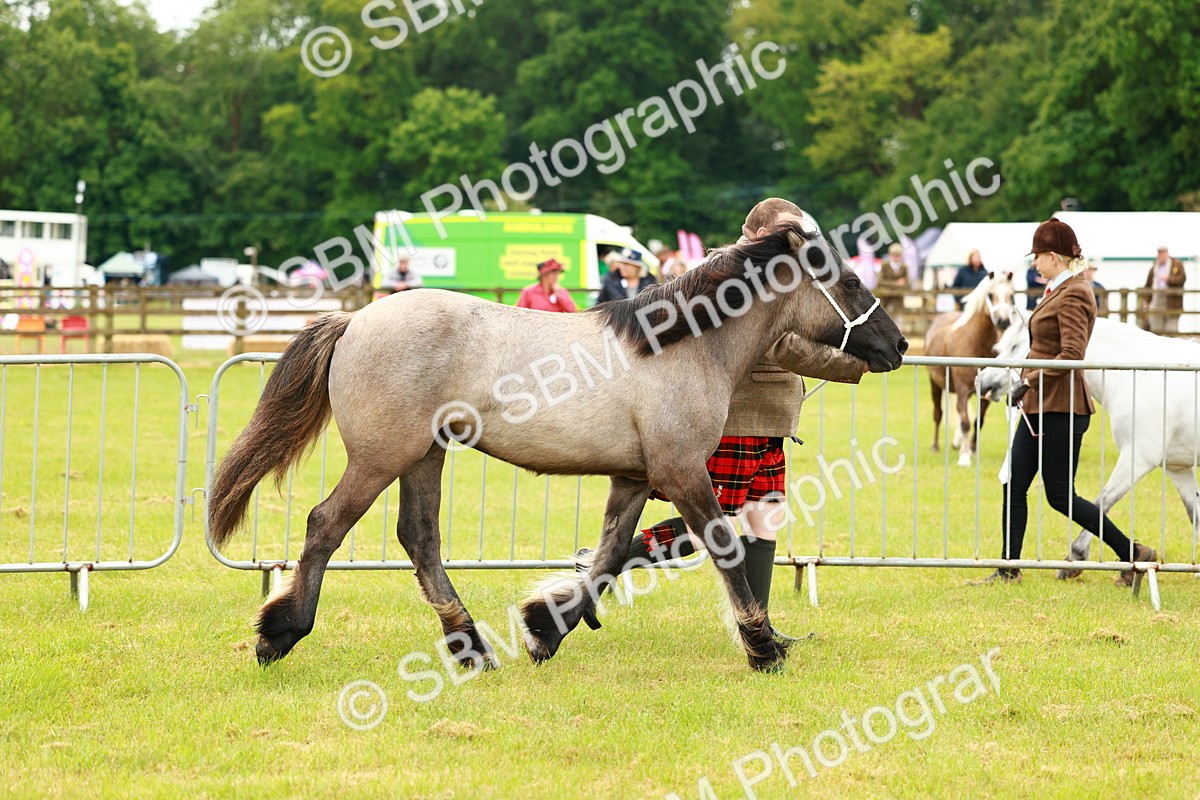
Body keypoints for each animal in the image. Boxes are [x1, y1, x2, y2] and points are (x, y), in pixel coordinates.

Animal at [208, 222, 908, 672]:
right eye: (849, 281)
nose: (897, 346)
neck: (681, 345)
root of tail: (355, 319)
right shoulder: (683, 473)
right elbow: (724, 552)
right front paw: (764, 649)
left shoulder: (636, 478)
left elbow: (609, 556)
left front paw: (545, 627)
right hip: (383, 456)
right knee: (326, 524)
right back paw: (280, 635)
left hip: (425, 456)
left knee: (420, 537)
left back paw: (470, 646)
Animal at [925, 272, 1016, 467]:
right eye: (990, 295)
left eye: (1011, 295)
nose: (1004, 321)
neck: (976, 344)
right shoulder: (962, 389)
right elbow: (966, 422)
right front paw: (965, 456)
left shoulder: (985, 393)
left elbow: (977, 421)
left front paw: (972, 450)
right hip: (935, 385)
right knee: (938, 414)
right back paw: (936, 446)